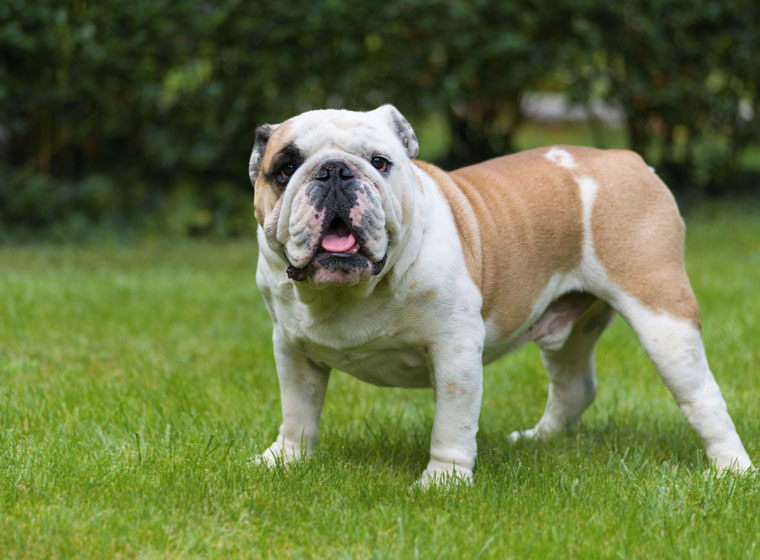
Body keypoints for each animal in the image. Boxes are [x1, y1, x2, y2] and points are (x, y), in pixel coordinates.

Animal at [251, 105, 756, 486]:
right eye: (285, 168)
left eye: (379, 162)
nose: (335, 171)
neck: (349, 292)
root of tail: (628, 159)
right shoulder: (291, 349)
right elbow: (298, 411)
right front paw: (284, 460)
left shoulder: (455, 353)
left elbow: (451, 424)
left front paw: (442, 482)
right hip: (573, 328)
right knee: (574, 385)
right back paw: (539, 439)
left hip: (662, 316)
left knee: (701, 395)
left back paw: (731, 470)